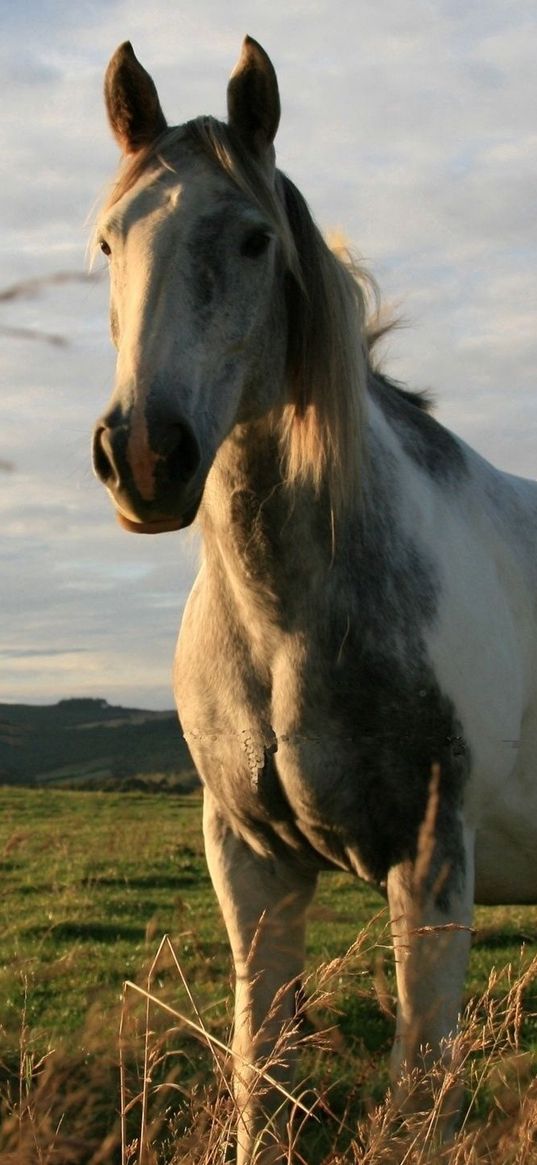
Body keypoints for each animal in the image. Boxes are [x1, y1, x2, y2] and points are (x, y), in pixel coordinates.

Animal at [92, 38, 535, 1165]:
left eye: (254, 239)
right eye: (108, 241)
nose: (145, 455)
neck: (287, 619)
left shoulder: (431, 866)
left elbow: (421, 1094)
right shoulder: (253, 864)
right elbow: (265, 1076)